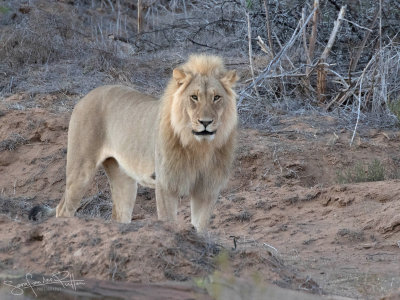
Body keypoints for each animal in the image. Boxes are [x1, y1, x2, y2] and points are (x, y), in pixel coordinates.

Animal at [30, 54, 241, 232]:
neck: (200, 146)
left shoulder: (207, 189)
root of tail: (87, 95)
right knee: (63, 209)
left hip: (123, 178)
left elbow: (201, 228)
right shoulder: (166, 185)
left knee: (119, 214)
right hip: (81, 169)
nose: (205, 122)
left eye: (216, 97)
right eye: (194, 97)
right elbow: (168, 222)